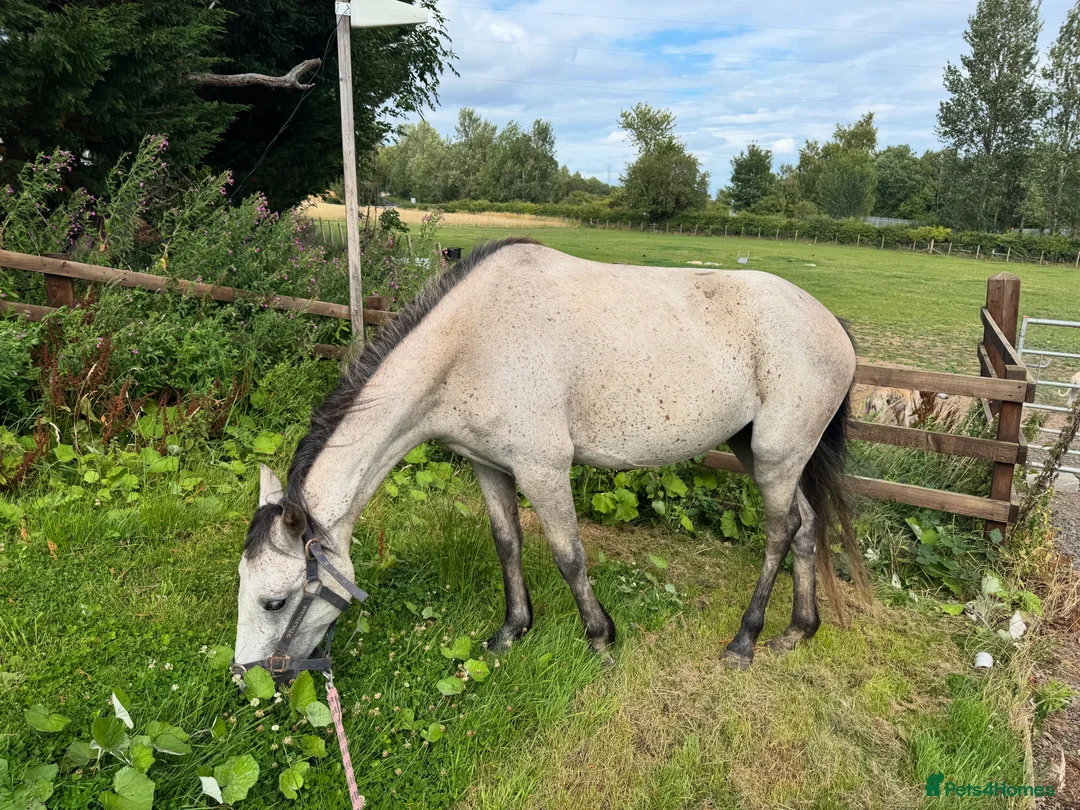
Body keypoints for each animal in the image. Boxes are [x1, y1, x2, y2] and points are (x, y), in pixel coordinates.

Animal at [233, 237, 868, 678]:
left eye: (275, 600)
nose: (248, 679)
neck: (470, 342)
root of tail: (831, 323)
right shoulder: (489, 465)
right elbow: (507, 543)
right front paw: (512, 631)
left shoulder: (543, 469)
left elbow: (568, 555)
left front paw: (600, 637)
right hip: (761, 451)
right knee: (806, 526)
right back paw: (797, 631)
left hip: (776, 456)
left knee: (780, 531)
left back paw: (744, 641)